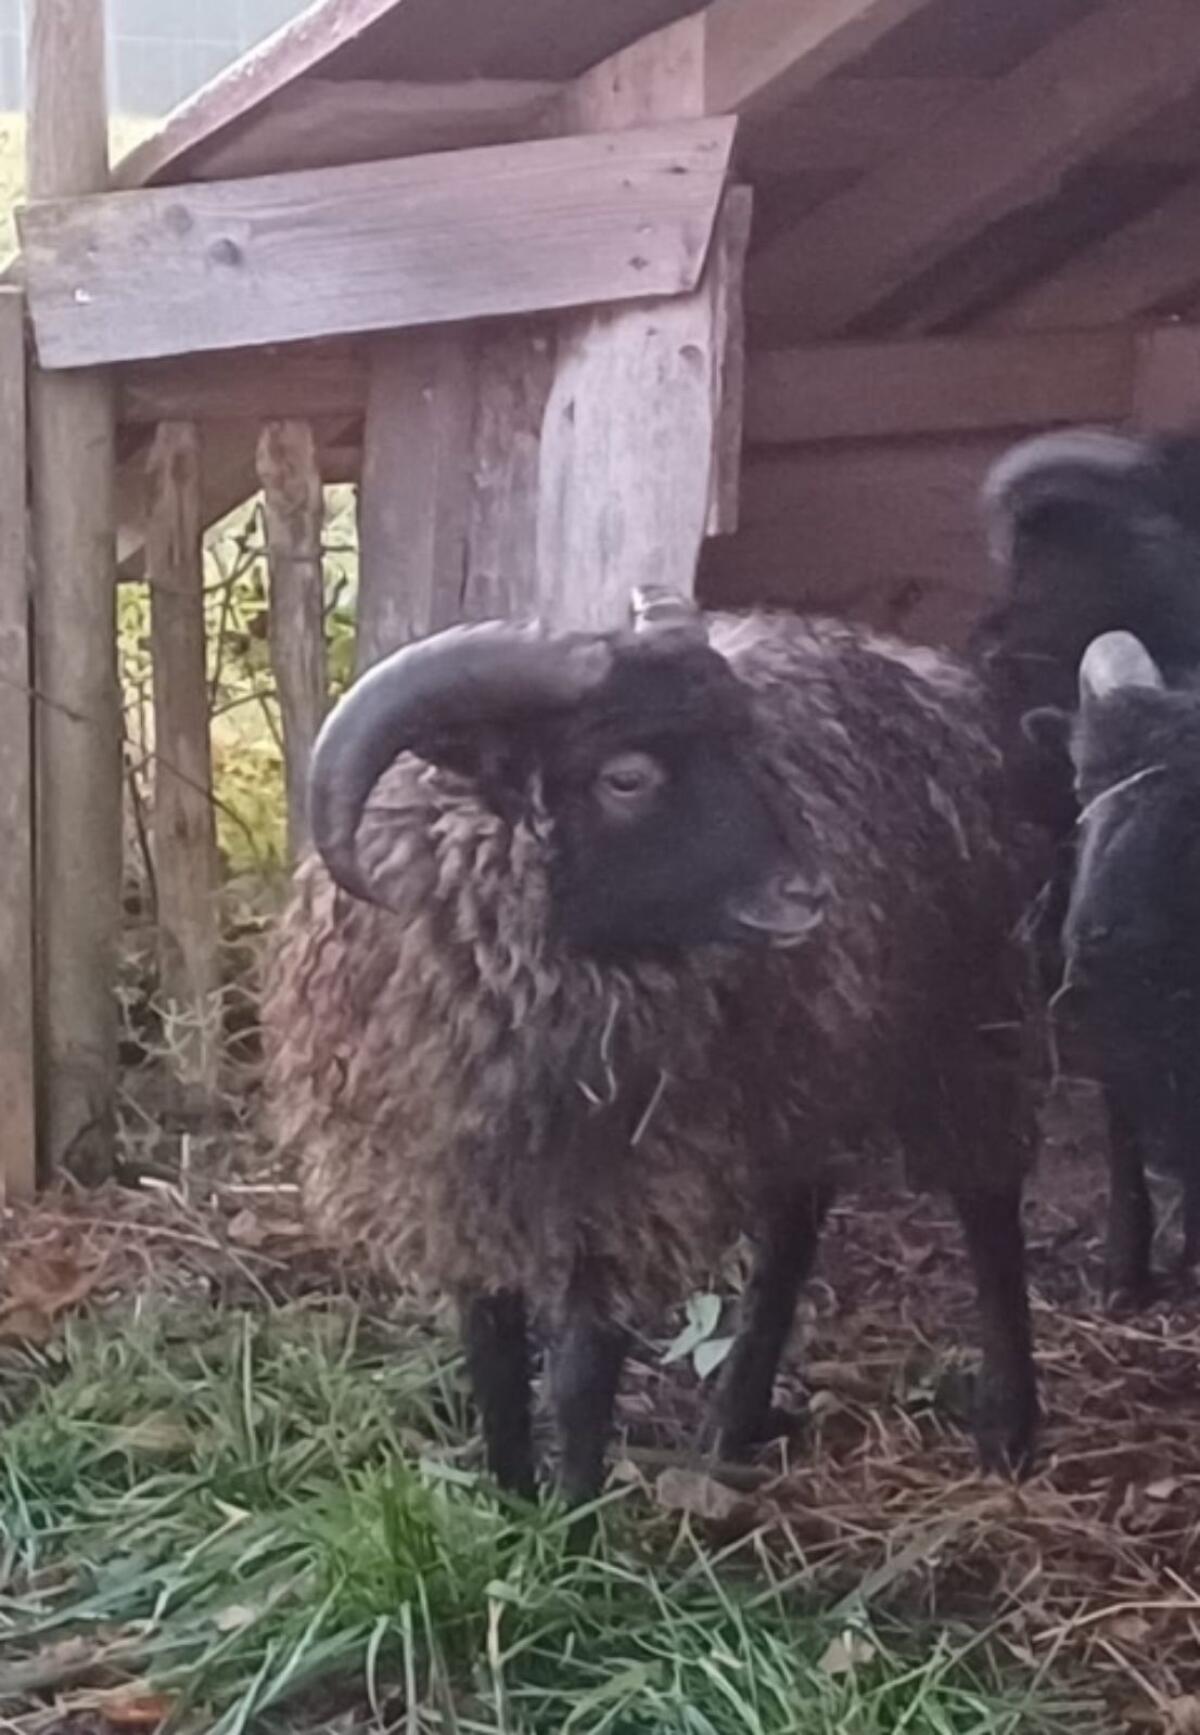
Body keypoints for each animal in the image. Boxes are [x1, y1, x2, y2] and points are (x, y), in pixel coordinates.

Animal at [262, 591, 1042, 1502]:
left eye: (745, 742)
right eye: (626, 776)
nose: (807, 892)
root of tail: (932, 672)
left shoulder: (625, 1184)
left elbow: (579, 1374)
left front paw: (571, 1519)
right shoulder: (462, 1181)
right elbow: (492, 1358)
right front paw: (509, 1497)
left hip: (967, 1021)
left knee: (988, 1203)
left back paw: (1010, 1425)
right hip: (803, 1061)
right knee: (793, 1227)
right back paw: (734, 1422)